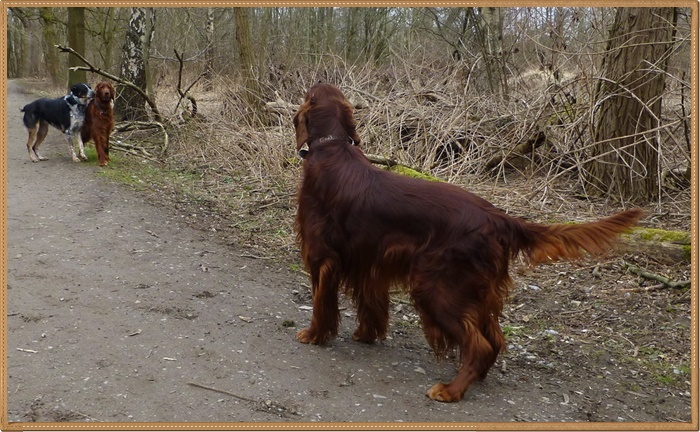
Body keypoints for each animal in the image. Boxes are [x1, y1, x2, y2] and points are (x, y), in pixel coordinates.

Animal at [292, 83, 643, 402]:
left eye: (308, 94)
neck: (332, 148)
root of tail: (499, 218)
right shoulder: (368, 261)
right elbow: (370, 304)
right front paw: (365, 335)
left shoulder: (322, 256)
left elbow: (321, 302)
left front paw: (313, 335)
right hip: (479, 291)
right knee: (495, 340)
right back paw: (473, 379)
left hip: (437, 288)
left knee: (479, 345)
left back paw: (451, 390)